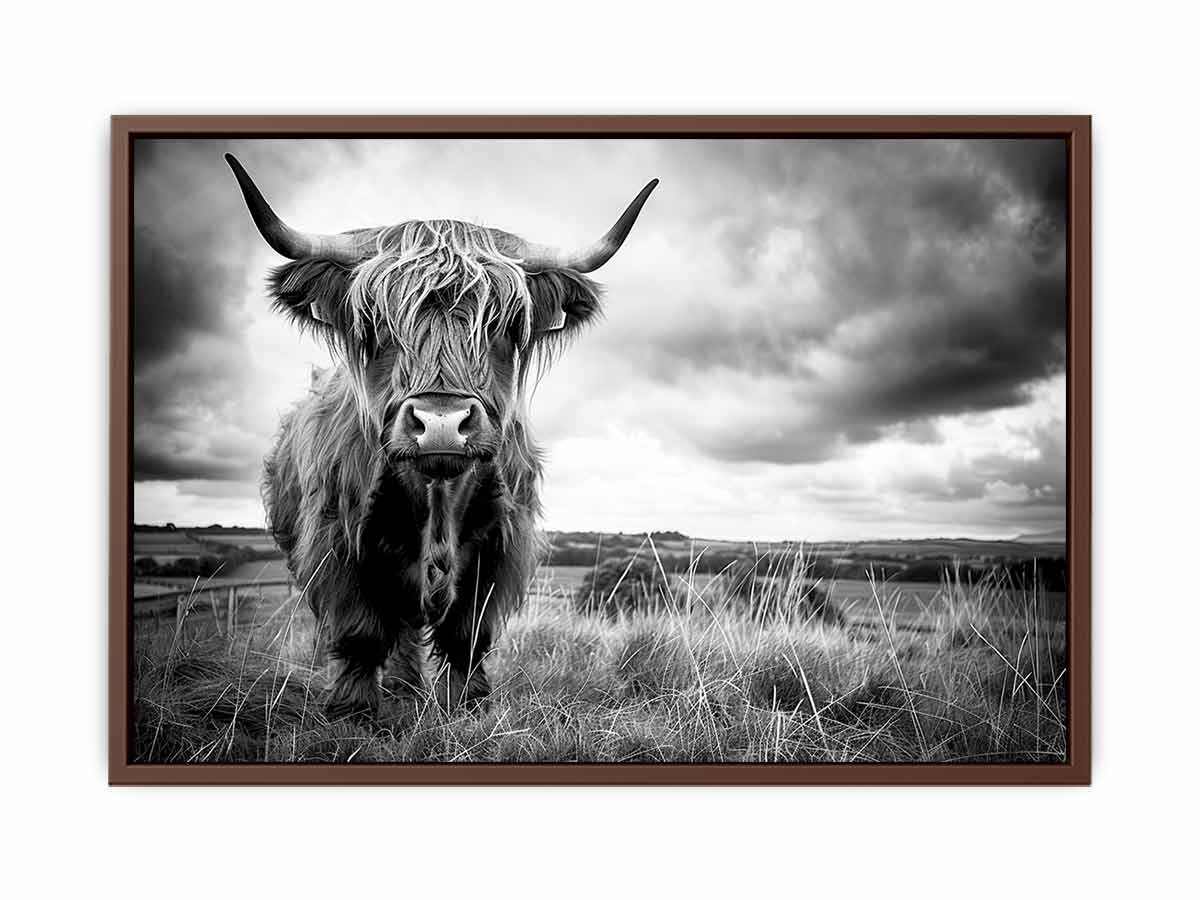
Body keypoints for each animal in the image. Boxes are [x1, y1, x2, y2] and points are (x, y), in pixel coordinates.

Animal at [225, 154, 657, 719]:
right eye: (376, 324)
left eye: (503, 325)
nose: (442, 423)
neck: (438, 498)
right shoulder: (337, 541)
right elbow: (362, 631)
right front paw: (353, 711)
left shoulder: (500, 544)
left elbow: (468, 633)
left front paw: (468, 706)